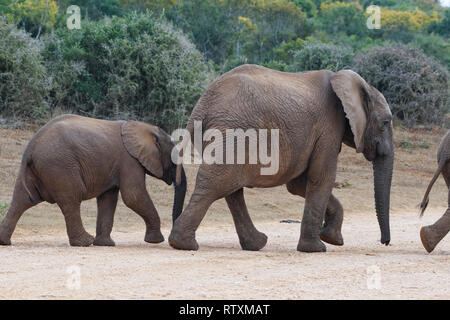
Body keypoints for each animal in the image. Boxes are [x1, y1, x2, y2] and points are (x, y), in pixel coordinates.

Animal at [0, 115, 186, 248]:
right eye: (173, 157)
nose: (171, 239)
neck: (144, 127)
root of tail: (30, 148)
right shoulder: (129, 161)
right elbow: (133, 196)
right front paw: (156, 241)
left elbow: (108, 199)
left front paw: (105, 244)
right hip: (60, 166)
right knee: (71, 198)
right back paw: (84, 242)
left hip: (40, 169)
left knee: (22, 199)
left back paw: (4, 242)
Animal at [169, 63, 394, 251]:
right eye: (385, 123)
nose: (385, 242)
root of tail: (201, 106)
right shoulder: (328, 129)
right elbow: (321, 178)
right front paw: (317, 248)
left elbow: (298, 184)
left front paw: (333, 239)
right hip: (234, 132)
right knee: (217, 184)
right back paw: (184, 244)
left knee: (230, 188)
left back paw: (255, 244)